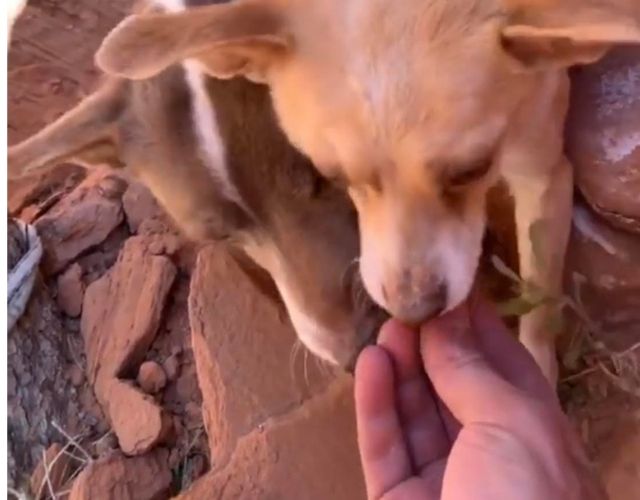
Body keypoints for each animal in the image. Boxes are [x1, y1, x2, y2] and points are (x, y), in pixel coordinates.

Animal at [91, 0, 640, 382]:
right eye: (331, 174)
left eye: (472, 170)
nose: (412, 311)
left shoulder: (543, 172)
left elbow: (540, 290)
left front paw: (536, 370)